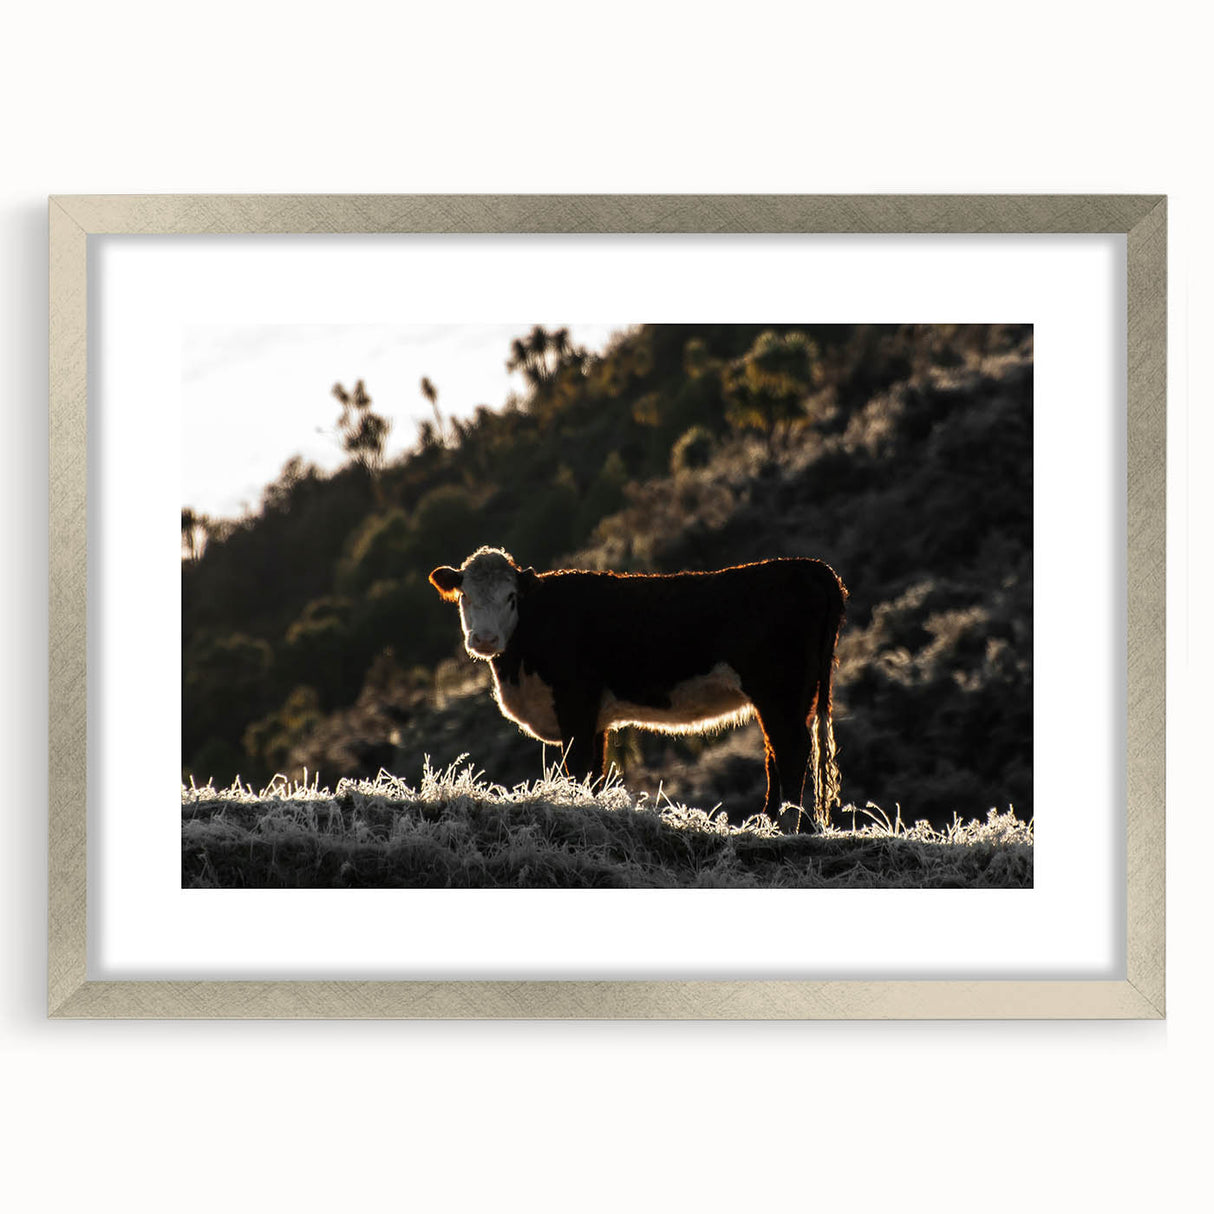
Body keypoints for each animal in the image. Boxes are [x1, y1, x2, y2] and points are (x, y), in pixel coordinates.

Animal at [428, 547, 847, 829]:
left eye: (511, 597)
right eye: (465, 596)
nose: (484, 639)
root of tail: (808, 566)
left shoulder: (575, 705)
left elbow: (578, 768)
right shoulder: (595, 719)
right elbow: (595, 773)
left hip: (779, 690)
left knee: (792, 751)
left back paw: (786, 826)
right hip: (790, 697)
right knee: (778, 752)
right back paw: (768, 824)